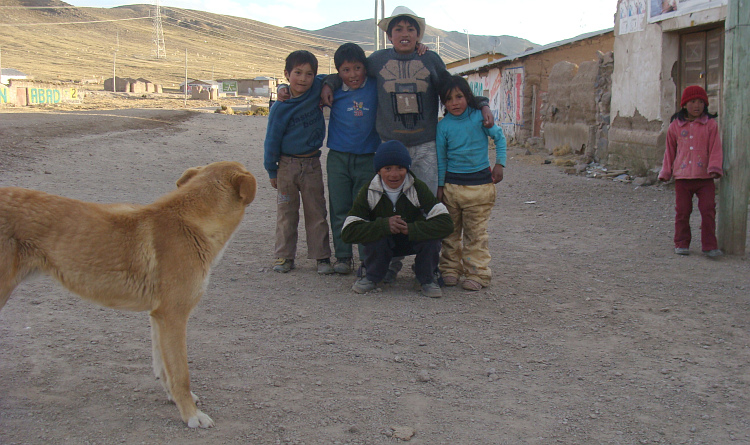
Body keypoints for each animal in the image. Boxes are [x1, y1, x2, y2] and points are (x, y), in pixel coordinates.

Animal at [0, 160, 258, 426]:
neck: (191, 223)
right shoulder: (173, 317)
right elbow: (180, 374)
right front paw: (190, 414)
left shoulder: (159, 317)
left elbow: (164, 369)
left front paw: (174, 399)